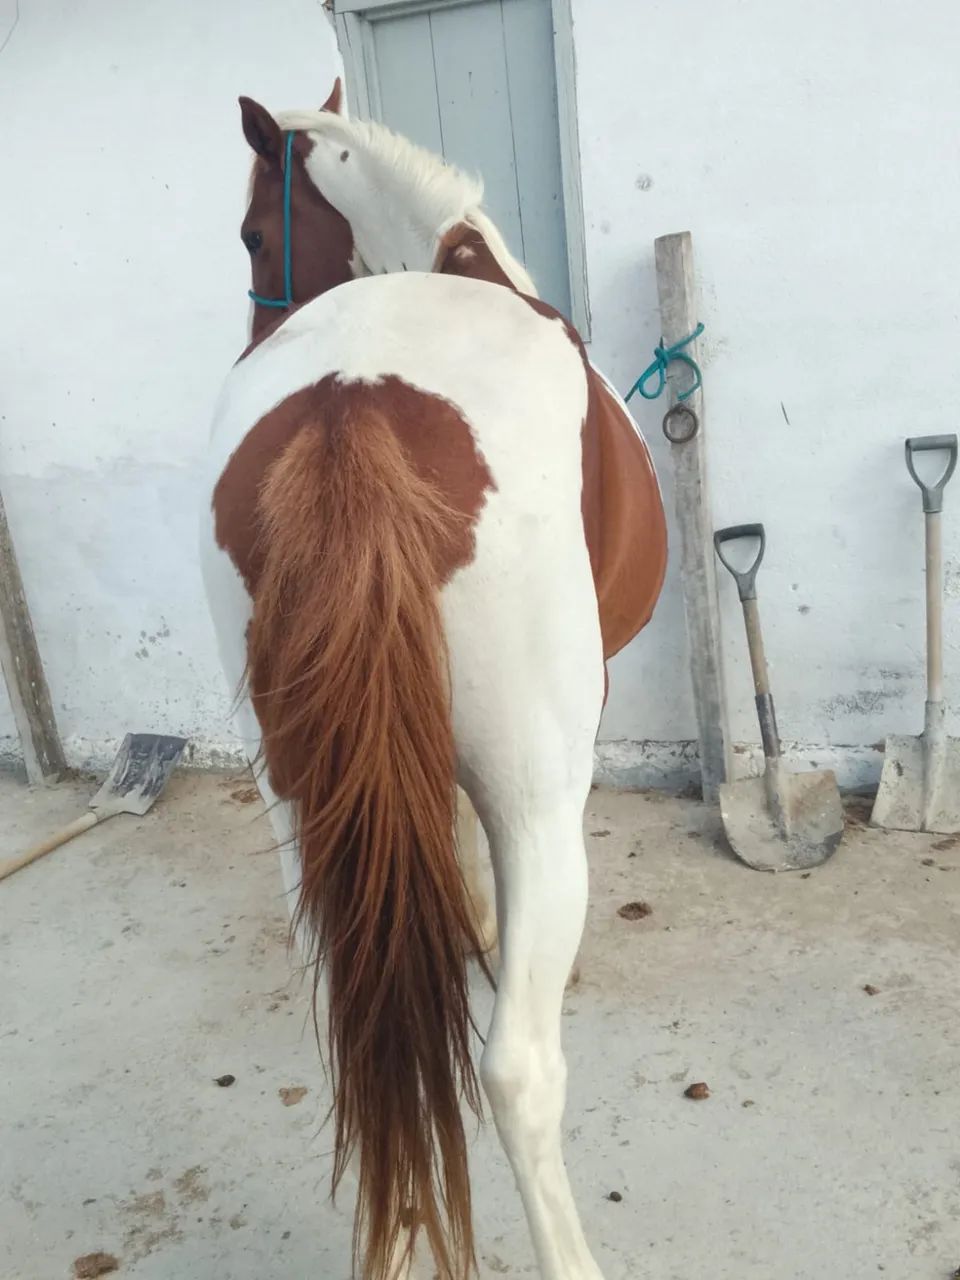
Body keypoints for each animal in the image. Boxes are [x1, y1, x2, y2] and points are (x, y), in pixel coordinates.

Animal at [199, 81, 667, 1280]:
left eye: (253, 235)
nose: (250, 327)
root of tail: (350, 401)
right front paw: (488, 929)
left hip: (295, 796)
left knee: (357, 1026)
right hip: (541, 803)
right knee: (518, 1073)